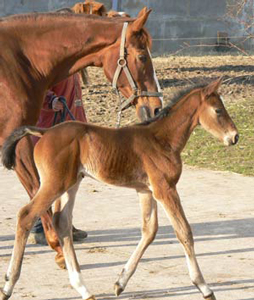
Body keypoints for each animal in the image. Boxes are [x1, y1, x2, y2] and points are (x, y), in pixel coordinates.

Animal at [0, 7, 163, 268]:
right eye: (141, 57)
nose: (157, 108)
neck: (15, 62)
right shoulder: (16, 138)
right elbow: (36, 187)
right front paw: (57, 246)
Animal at [0, 78, 238, 300]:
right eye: (218, 110)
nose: (234, 137)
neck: (161, 140)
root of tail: (44, 131)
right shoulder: (165, 189)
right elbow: (184, 231)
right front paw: (204, 287)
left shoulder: (146, 191)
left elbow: (149, 231)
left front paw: (120, 283)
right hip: (54, 183)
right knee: (26, 215)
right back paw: (8, 285)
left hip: (70, 184)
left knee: (62, 223)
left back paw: (83, 288)